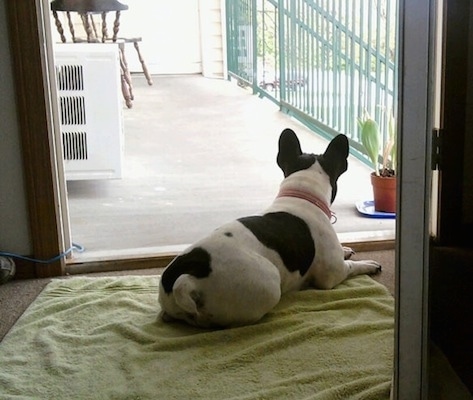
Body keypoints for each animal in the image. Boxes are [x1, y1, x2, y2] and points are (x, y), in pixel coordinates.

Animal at [159, 128, 380, 328]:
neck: (301, 195)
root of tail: (187, 281)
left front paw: (346, 249)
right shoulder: (332, 274)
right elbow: (352, 267)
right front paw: (368, 264)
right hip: (269, 282)